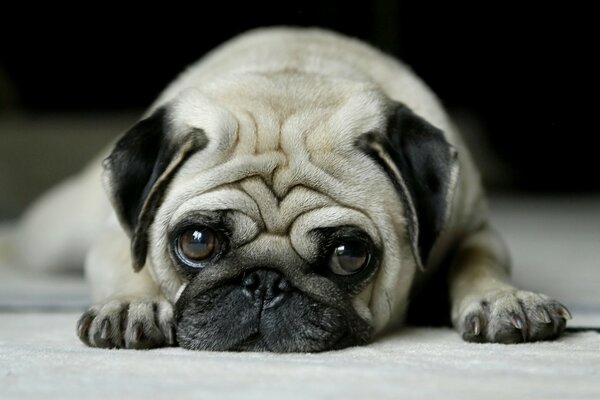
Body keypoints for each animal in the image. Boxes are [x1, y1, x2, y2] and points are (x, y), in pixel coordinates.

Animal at [16, 27, 568, 350]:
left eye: (349, 254)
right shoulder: (115, 239)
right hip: (55, 237)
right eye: (197, 242)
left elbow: (478, 259)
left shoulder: (474, 227)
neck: (295, 81)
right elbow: (129, 264)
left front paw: (503, 299)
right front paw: (134, 303)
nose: (264, 281)